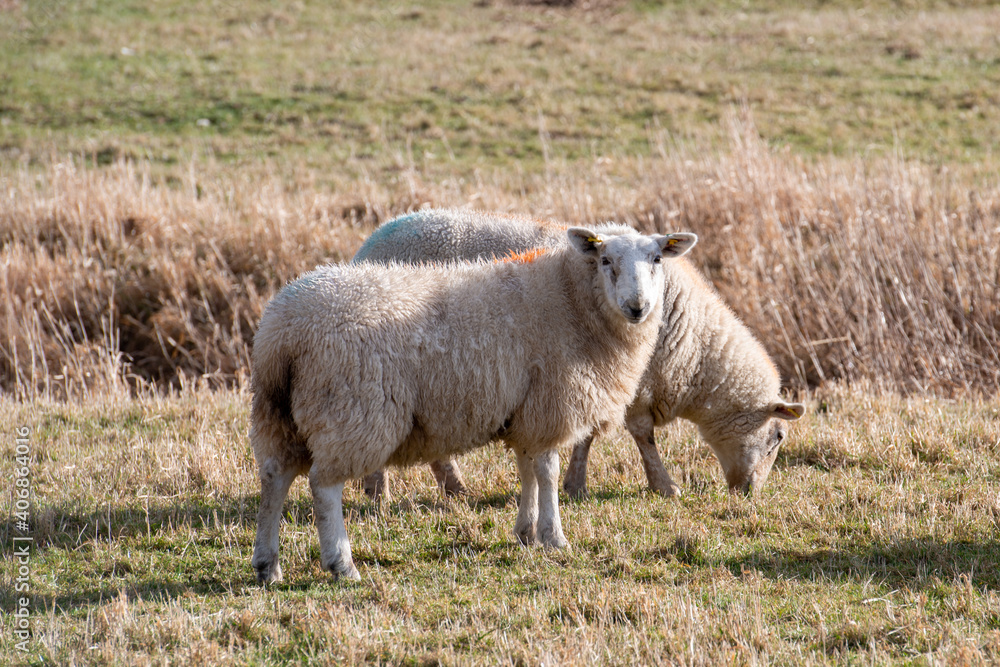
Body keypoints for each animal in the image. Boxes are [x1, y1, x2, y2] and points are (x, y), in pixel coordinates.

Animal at [250, 225, 698, 582]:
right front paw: (554, 536)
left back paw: (267, 565)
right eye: (605, 260)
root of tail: (282, 331)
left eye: (657, 258)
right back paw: (342, 565)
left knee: (274, 476)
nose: (638, 307)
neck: (570, 298)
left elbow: (527, 471)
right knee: (323, 487)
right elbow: (548, 472)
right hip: (351, 410)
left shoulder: (525, 411)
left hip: (279, 413)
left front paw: (525, 532)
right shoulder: (549, 403)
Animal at [354, 209, 805, 499]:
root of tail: (368, 245)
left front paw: (574, 485)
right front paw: (664, 485)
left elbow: (586, 435)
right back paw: (380, 495)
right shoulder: (628, 381)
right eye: (778, 437)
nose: (749, 493)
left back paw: (453, 490)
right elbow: (641, 434)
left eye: (658, 258)